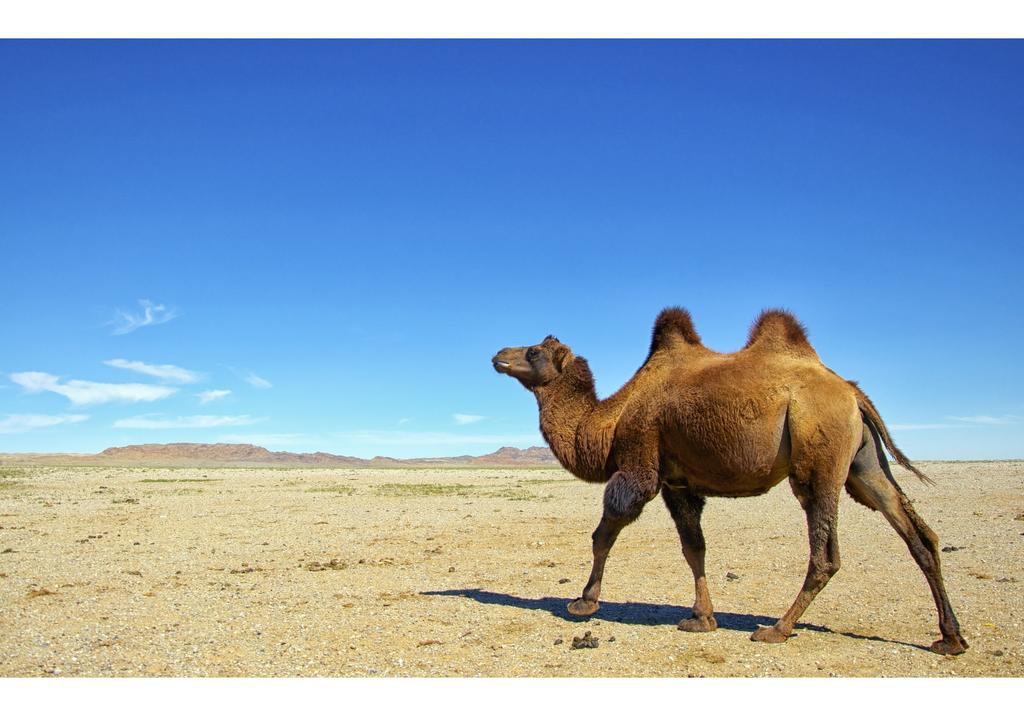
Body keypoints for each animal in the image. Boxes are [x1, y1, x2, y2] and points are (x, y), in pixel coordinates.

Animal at [491, 307, 967, 655]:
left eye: (533, 351)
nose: (498, 354)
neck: (609, 419)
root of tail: (853, 392)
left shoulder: (639, 464)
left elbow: (603, 534)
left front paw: (583, 602)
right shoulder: (678, 483)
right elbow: (694, 548)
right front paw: (701, 619)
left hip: (818, 454)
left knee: (826, 554)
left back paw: (777, 628)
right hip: (865, 465)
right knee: (918, 534)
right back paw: (950, 638)